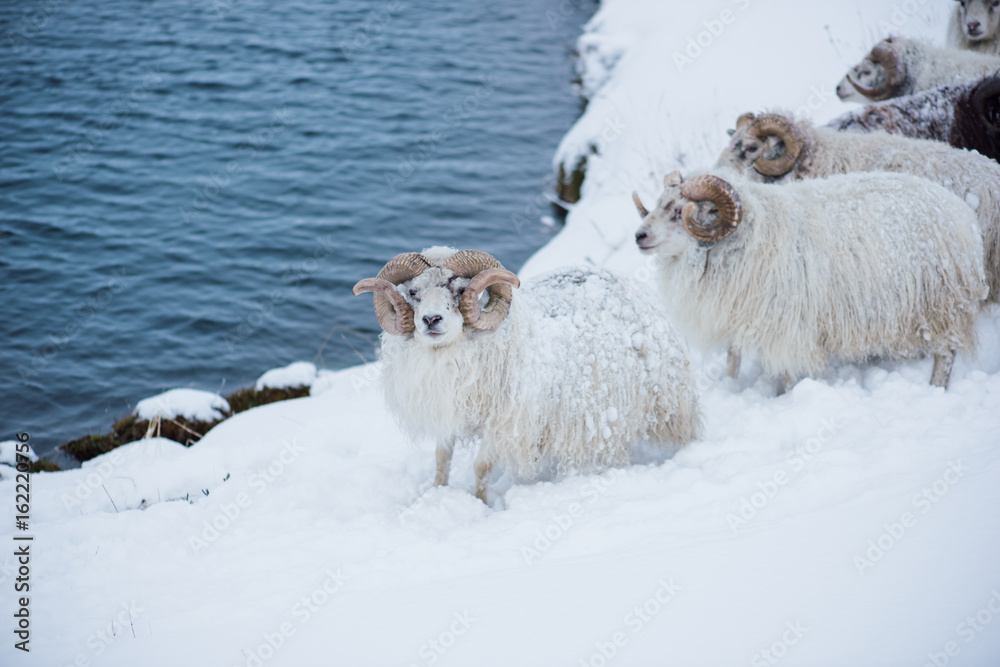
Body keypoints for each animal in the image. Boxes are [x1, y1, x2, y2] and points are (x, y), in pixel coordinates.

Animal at [353, 247, 701, 503]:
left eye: (461, 289)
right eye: (413, 292)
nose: (430, 320)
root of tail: (626, 282)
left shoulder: (504, 423)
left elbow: (481, 467)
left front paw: (480, 505)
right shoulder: (447, 412)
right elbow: (441, 459)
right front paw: (437, 497)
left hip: (665, 403)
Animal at [630, 170, 987, 389]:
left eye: (679, 212)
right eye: (659, 204)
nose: (638, 236)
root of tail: (963, 215)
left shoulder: (789, 324)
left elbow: (788, 371)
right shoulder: (741, 313)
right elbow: (733, 356)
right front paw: (729, 386)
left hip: (941, 303)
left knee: (947, 354)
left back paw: (936, 388)